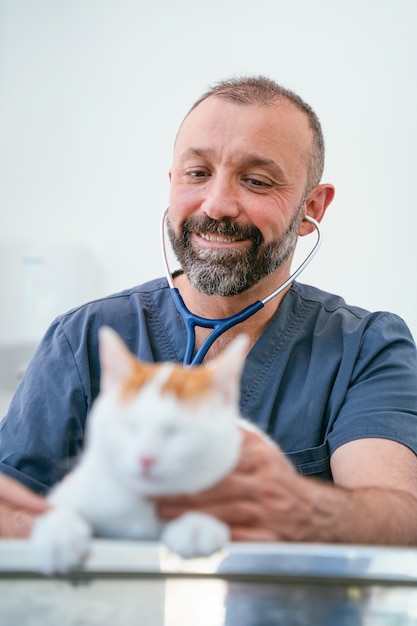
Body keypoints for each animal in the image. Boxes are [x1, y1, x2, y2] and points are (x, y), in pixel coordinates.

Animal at [30, 326, 249, 576]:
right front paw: (57, 536)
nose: (146, 459)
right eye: (130, 426)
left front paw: (197, 524)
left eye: (174, 431)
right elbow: (59, 507)